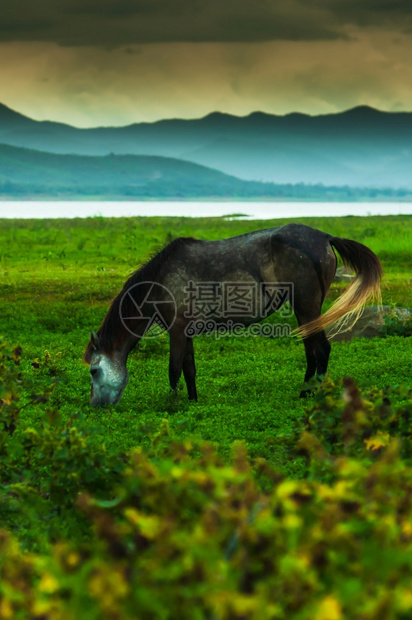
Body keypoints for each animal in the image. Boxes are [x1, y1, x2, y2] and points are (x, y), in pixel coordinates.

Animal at [83, 223, 384, 406]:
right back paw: (306, 391)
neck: (159, 281)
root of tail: (325, 237)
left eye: (94, 371)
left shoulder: (176, 330)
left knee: (320, 349)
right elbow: (189, 369)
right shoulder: (186, 331)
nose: (96, 406)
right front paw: (192, 401)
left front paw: (172, 405)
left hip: (306, 306)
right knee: (311, 350)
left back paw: (309, 394)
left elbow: (173, 370)